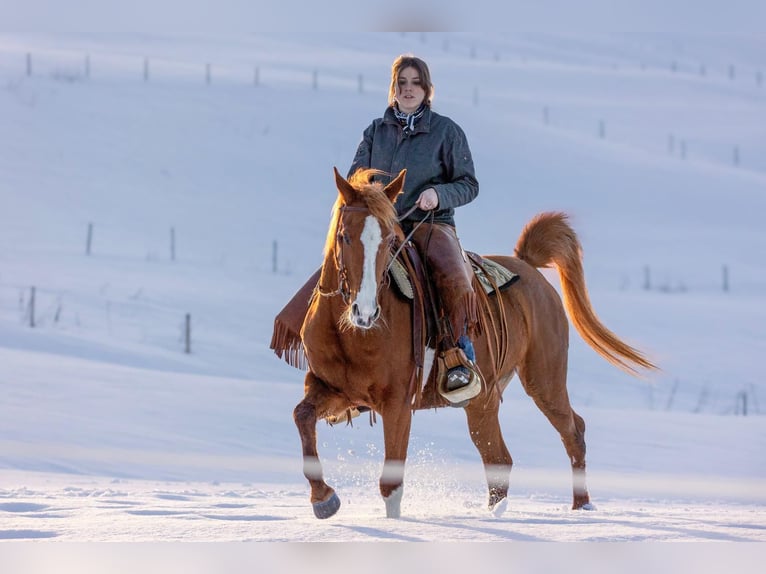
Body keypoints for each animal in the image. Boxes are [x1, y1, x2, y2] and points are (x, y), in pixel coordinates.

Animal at [275, 167, 656, 519]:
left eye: (388, 240)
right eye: (344, 237)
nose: (365, 312)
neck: (352, 334)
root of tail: (529, 267)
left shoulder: (397, 403)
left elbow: (391, 485)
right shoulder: (332, 389)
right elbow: (301, 417)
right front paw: (323, 499)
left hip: (543, 380)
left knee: (573, 430)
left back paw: (581, 507)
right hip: (483, 402)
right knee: (499, 458)